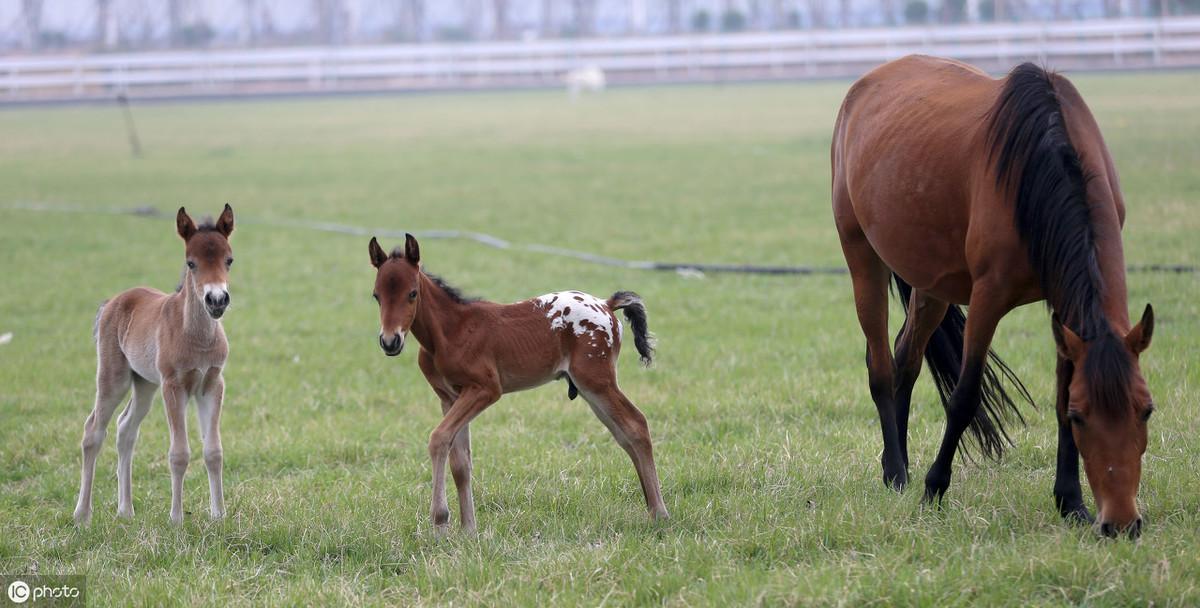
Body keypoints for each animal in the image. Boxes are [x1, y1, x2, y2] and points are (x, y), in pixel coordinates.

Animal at [75, 207, 236, 525]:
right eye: (191, 263)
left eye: (229, 260)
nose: (217, 300)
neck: (197, 337)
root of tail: (113, 301)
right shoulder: (173, 385)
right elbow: (179, 453)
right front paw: (176, 519)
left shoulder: (212, 384)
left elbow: (213, 451)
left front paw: (219, 516)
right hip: (114, 378)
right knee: (93, 431)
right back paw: (82, 515)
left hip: (145, 384)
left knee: (125, 429)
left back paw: (125, 510)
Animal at [367, 233, 667, 532]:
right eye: (376, 296)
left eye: (412, 293)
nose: (390, 341)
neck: (450, 331)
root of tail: (605, 304)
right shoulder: (449, 397)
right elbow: (460, 462)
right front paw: (469, 531)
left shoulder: (485, 389)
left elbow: (438, 438)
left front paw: (440, 521)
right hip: (589, 389)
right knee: (623, 434)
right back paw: (651, 506)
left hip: (597, 381)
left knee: (636, 424)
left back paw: (660, 513)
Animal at [835, 54, 1152, 534]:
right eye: (1083, 417)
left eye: (1146, 410)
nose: (1120, 524)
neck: (1044, 160)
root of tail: (864, 85)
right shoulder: (988, 297)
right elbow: (964, 398)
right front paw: (934, 489)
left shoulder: (1062, 307)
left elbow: (1060, 393)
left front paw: (1071, 502)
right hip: (862, 258)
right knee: (881, 367)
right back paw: (896, 473)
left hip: (932, 285)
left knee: (906, 359)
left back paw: (900, 467)